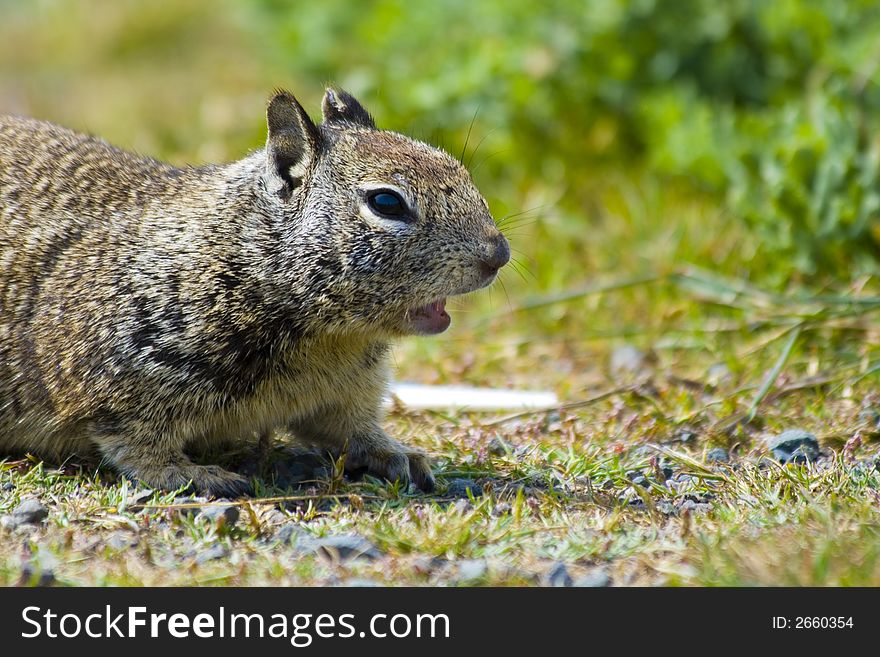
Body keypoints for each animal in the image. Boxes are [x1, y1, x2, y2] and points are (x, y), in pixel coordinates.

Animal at [0, 88, 508, 498]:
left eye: (457, 166)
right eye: (386, 202)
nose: (498, 254)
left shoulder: (348, 391)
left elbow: (352, 430)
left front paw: (398, 453)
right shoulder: (115, 378)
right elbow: (138, 447)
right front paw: (196, 475)